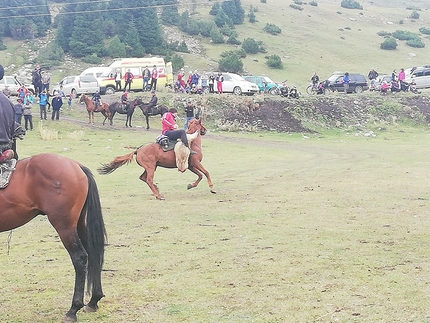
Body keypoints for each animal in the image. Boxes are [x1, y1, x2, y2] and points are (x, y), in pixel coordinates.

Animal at [0, 154, 106, 323]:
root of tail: (76, 165)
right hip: (78, 224)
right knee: (93, 254)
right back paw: (93, 300)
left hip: (64, 226)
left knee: (80, 258)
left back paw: (73, 309)